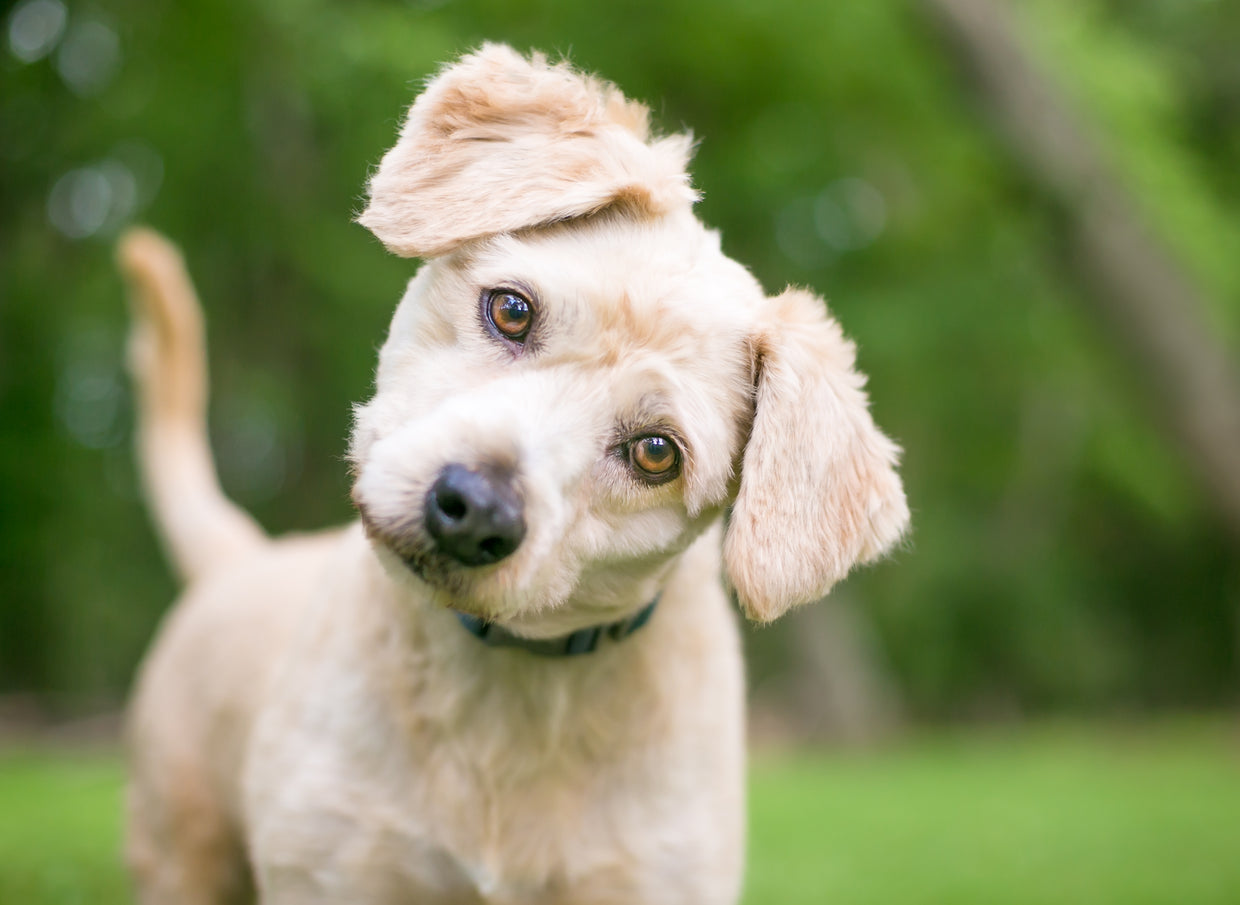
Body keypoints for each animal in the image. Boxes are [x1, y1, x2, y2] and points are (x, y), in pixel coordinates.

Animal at [118, 44, 912, 902]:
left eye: (656, 452)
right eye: (511, 309)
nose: (473, 511)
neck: (507, 689)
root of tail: (237, 558)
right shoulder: (332, 867)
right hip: (181, 852)